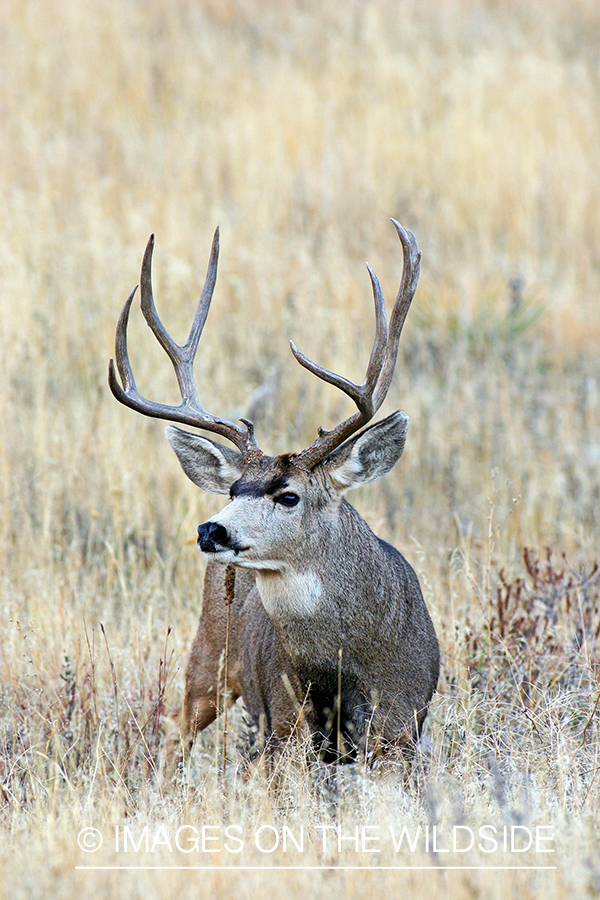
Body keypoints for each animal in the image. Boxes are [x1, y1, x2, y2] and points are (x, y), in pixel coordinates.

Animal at [109, 219, 440, 767]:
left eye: (289, 496)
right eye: (234, 488)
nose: (212, 529)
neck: (339, 672)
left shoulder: (401, 727)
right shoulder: (284, 723)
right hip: (211, 652)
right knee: (173, 727)